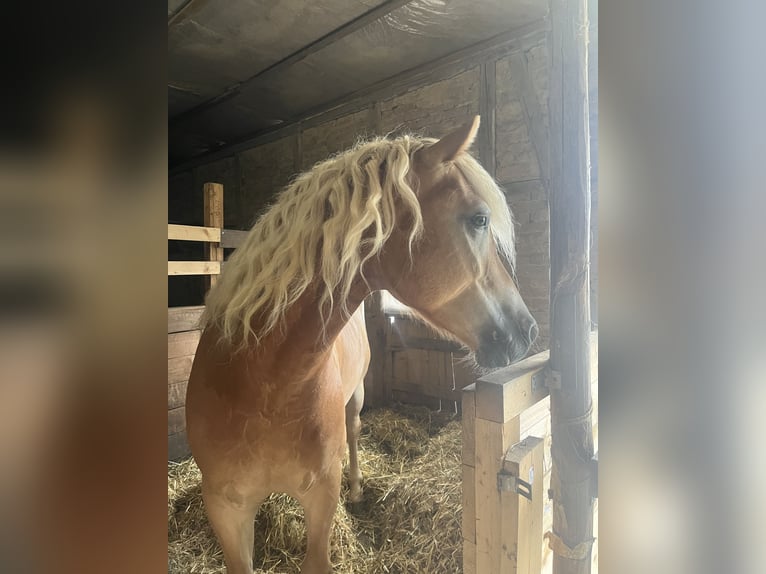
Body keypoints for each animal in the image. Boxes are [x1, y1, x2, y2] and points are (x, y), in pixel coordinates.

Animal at [184, 117, 540, 574]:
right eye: (479, 219)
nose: (528, 330)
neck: (265, 387)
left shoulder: (321, 497)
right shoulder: (226, 509)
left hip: (355, 397)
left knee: (354, 430)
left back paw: (355, 490)